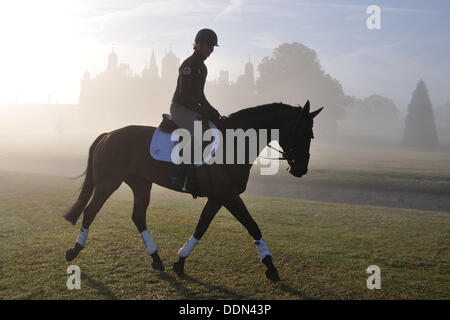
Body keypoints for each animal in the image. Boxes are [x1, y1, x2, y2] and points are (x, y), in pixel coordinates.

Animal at [64, 99, 324, 280]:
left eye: (311, 135)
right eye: (304, 133)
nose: (301, 169)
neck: (235, 142)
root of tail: (109, 134)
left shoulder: (219, 197)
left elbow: (202, 226)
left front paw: (180, 261)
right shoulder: (229, 196)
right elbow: (252, 225)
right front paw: (270, 266)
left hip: (141, 184)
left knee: (138, 216)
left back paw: (156, 258)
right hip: (109, 182)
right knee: (90, 211)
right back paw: (75, 250)